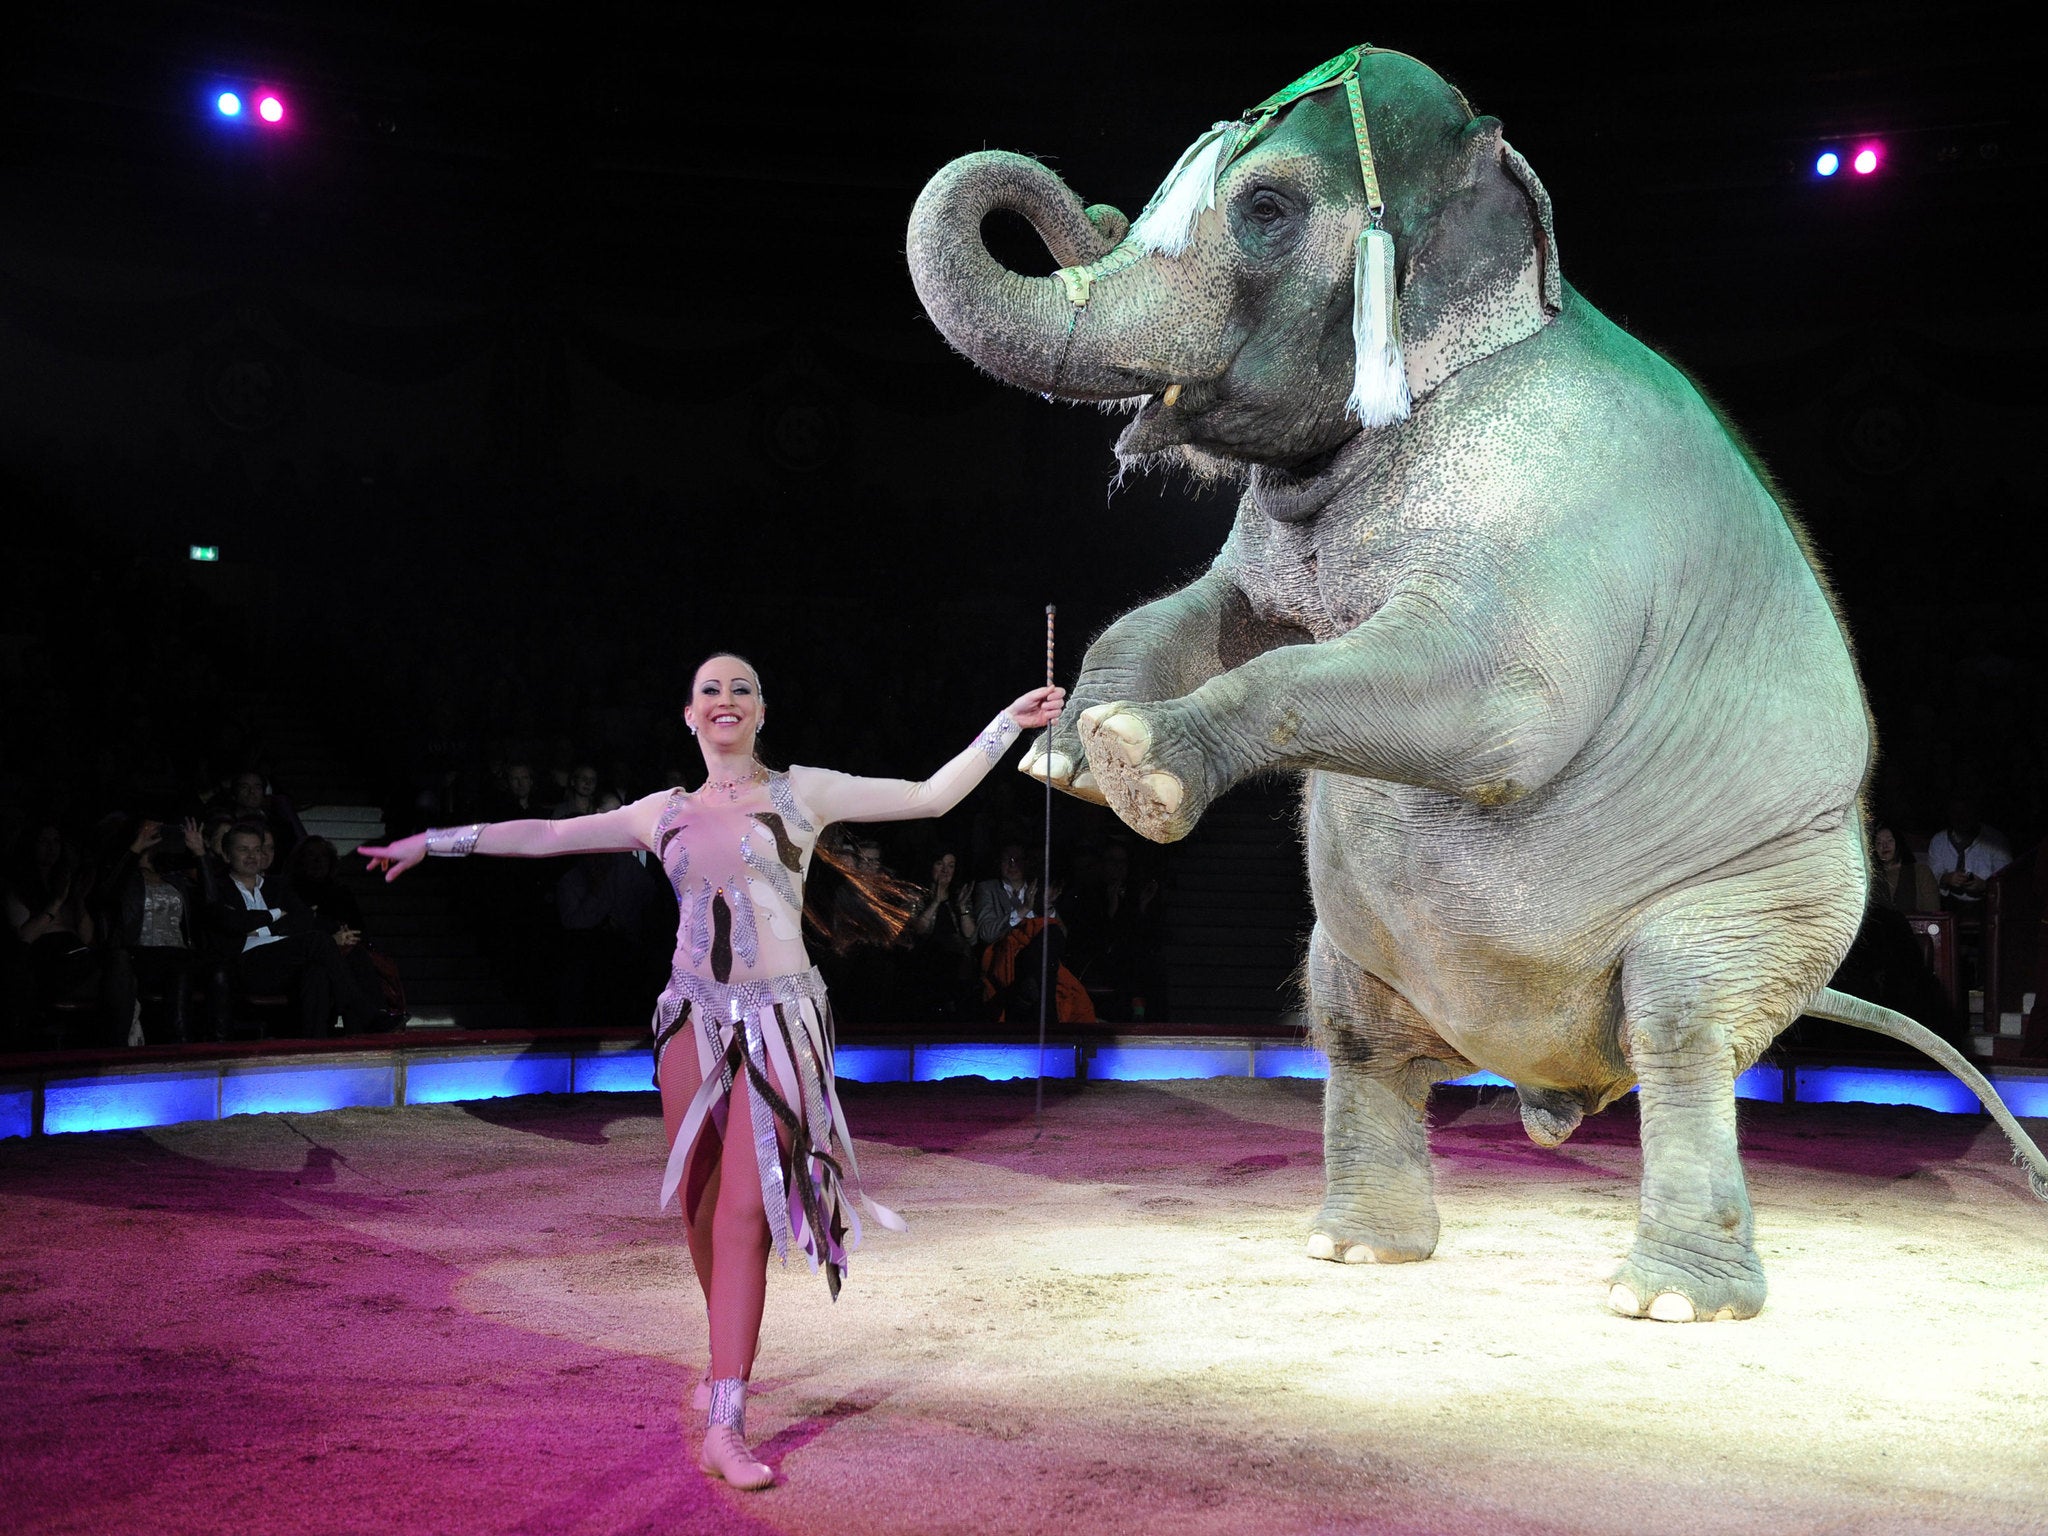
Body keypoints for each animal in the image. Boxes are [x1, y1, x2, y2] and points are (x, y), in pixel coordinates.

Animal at [913, 48, 2048, 1327]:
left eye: (1264, 209)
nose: (1096, 208)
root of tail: (1555, 1072)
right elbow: (1206, 610)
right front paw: (1063, 757)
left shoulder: (1550, 501)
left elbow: (1487, 707)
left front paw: (1137, 769)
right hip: (1369, 952)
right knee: (1352, 1030)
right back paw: (1359, 1250)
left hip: (1774, 899)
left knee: (1682, 1023)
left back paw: (1667, 1302)